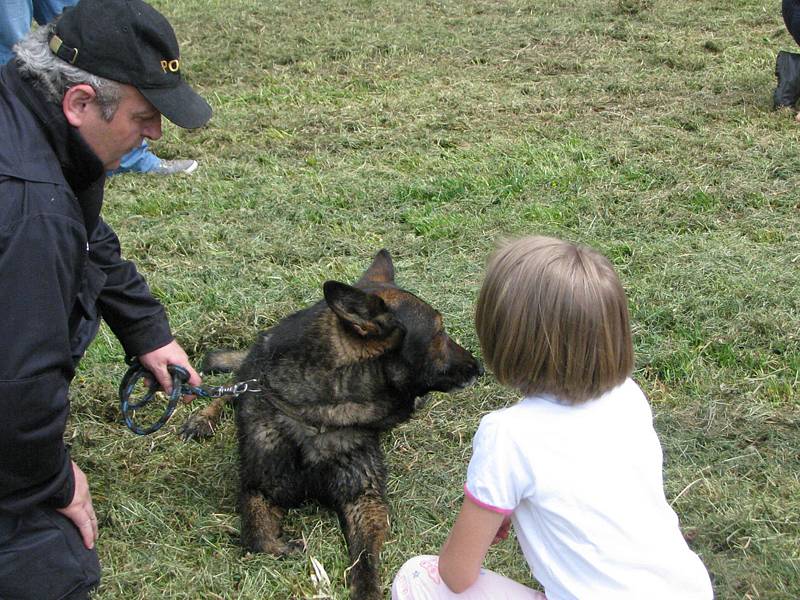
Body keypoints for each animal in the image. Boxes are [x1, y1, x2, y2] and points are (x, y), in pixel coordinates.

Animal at [181, 251, 482, 596]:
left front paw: (366, 590)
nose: (479, 367)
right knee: (231, 387)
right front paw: (283, 547)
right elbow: (256, 536)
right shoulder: (258, 489)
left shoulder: (364, 499)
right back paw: (202, 418)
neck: (320, 417)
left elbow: (365, 559)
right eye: (439, 333)